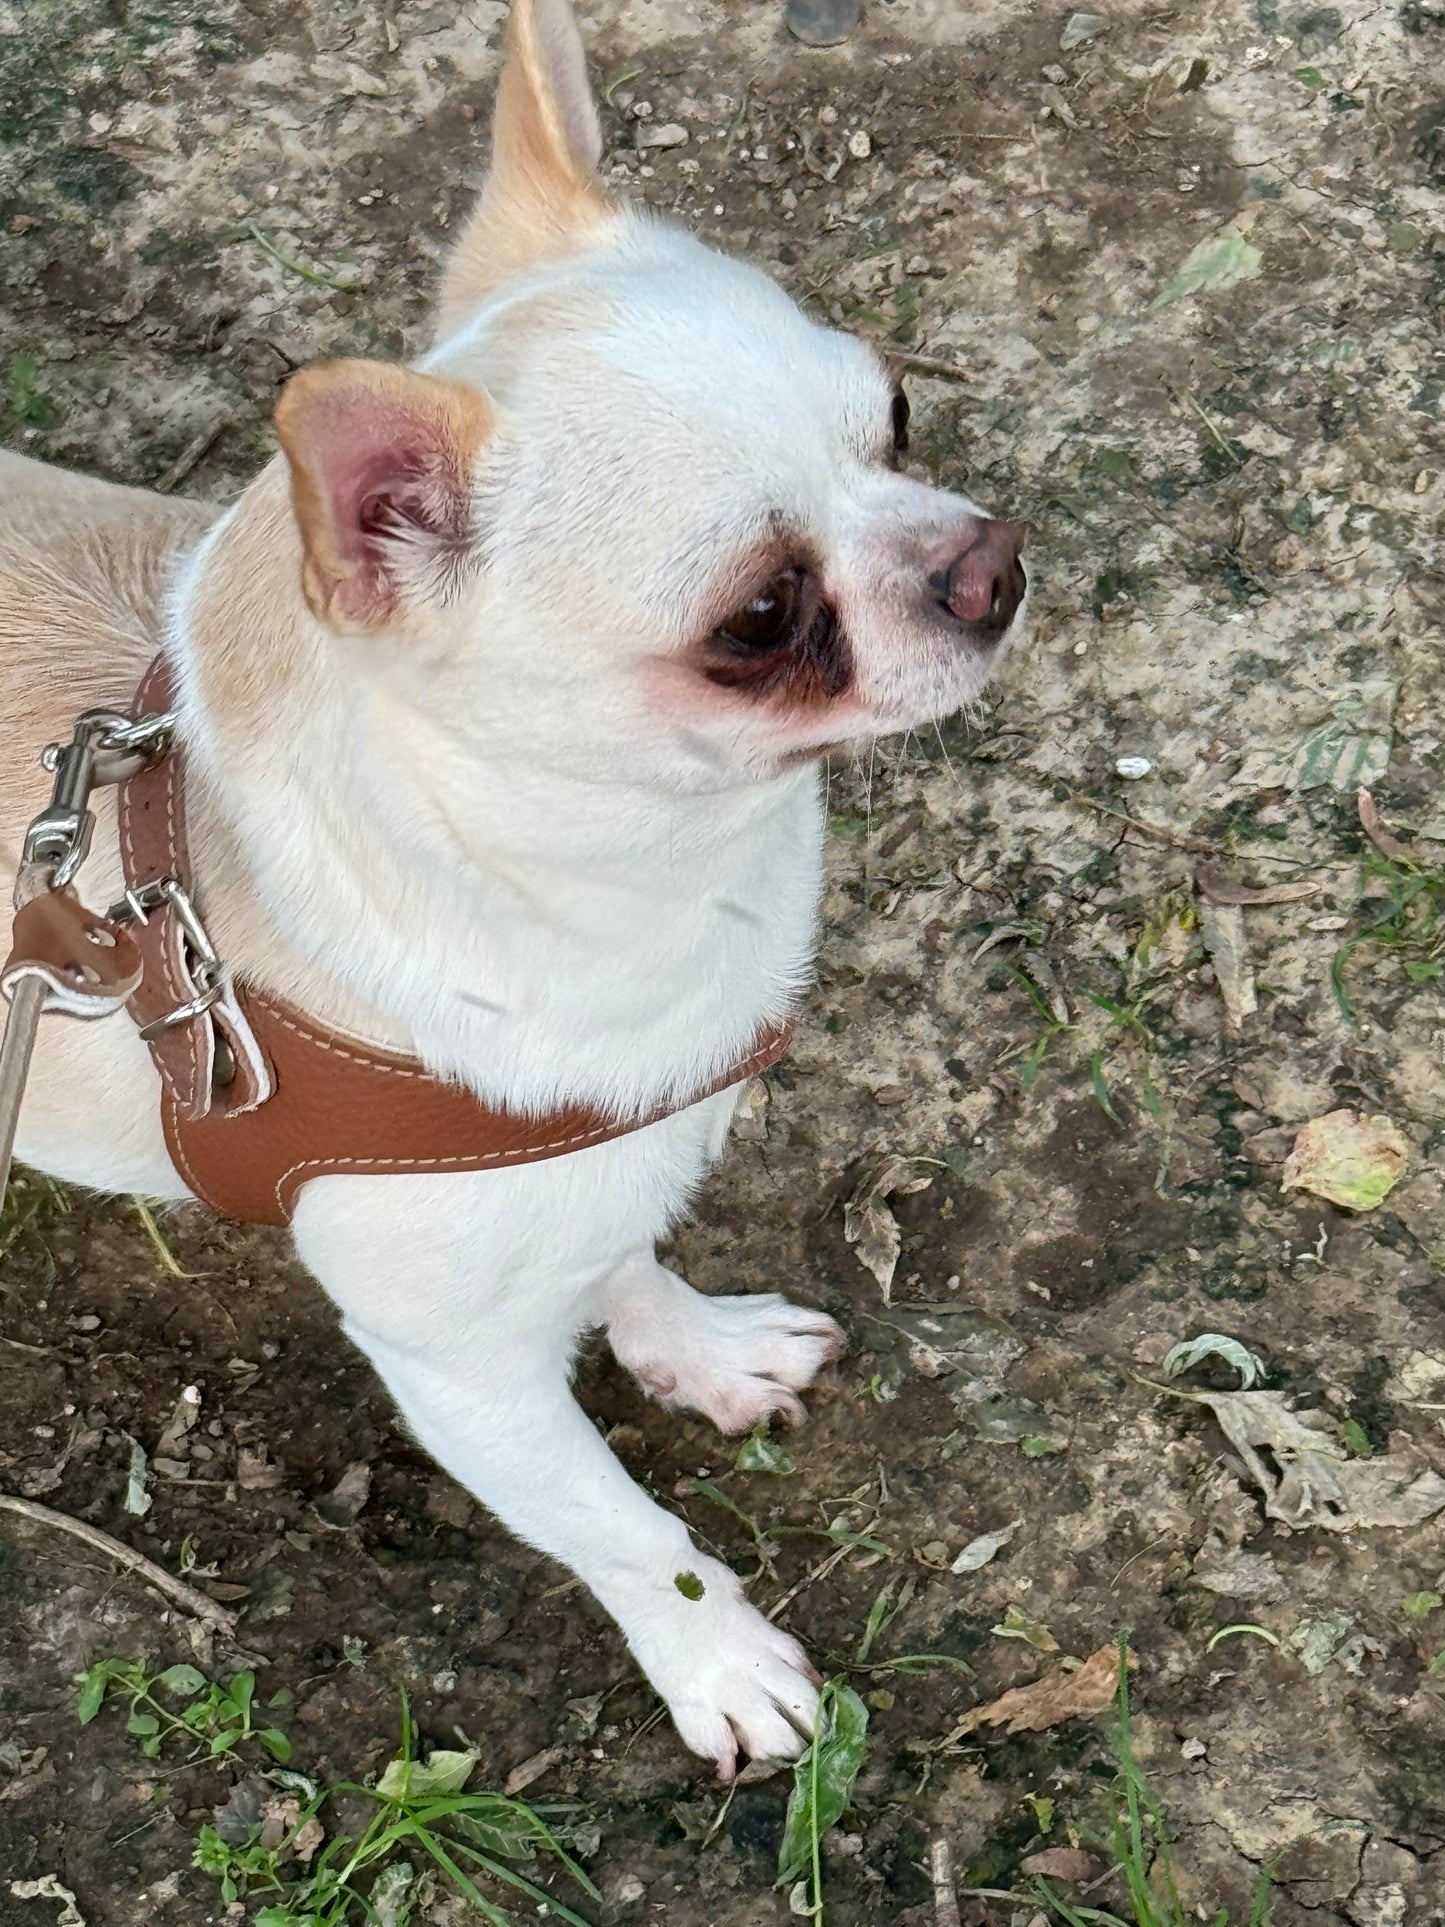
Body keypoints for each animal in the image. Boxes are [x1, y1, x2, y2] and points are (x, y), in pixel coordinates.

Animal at [0, 0, 1032, 1765]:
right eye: (761, 616)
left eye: (895, 415)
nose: (993, 562)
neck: (649, 870)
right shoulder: (463, 1369)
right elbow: (626, 1531)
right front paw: (714, 1658)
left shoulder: (599, 1131)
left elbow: (628, 1254)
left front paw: (695, 1346)